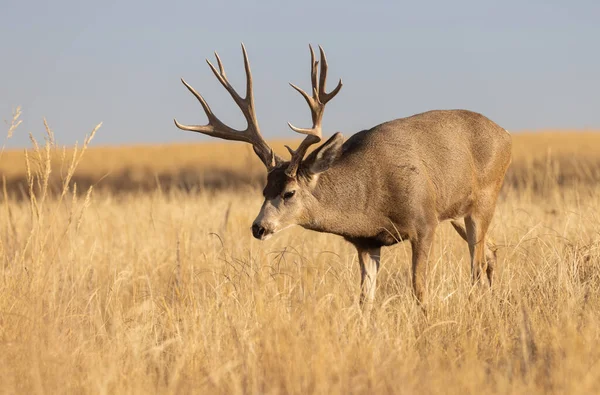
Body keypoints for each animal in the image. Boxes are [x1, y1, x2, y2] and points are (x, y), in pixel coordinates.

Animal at [173, 44, 510, 310]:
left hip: (484, 198)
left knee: (476, 265)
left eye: (289, 192)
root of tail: (505, 135)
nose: (259, 228)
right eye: (264, 190)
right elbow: (365, 300)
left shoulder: (424, 222)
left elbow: (419, 289)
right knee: (491, 253)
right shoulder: (366, 242)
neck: (370, 194)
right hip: (458, 213)